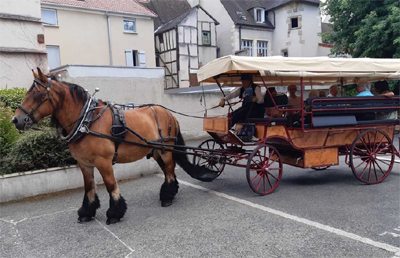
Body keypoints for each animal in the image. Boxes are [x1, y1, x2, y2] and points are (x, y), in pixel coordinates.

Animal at [13, 68, 216, 224]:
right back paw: (168, 194)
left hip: (166, 150)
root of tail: (168, 113)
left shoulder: (103, 162)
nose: (16, 120)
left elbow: (111, 186)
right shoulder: (84, 164)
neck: (87, 121)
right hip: (157, 151)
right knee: (168, 172)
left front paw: (115, 213)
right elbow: (89, 187)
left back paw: (167, 197)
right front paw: (87, 212)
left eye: (38, 94)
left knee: (170, 171)